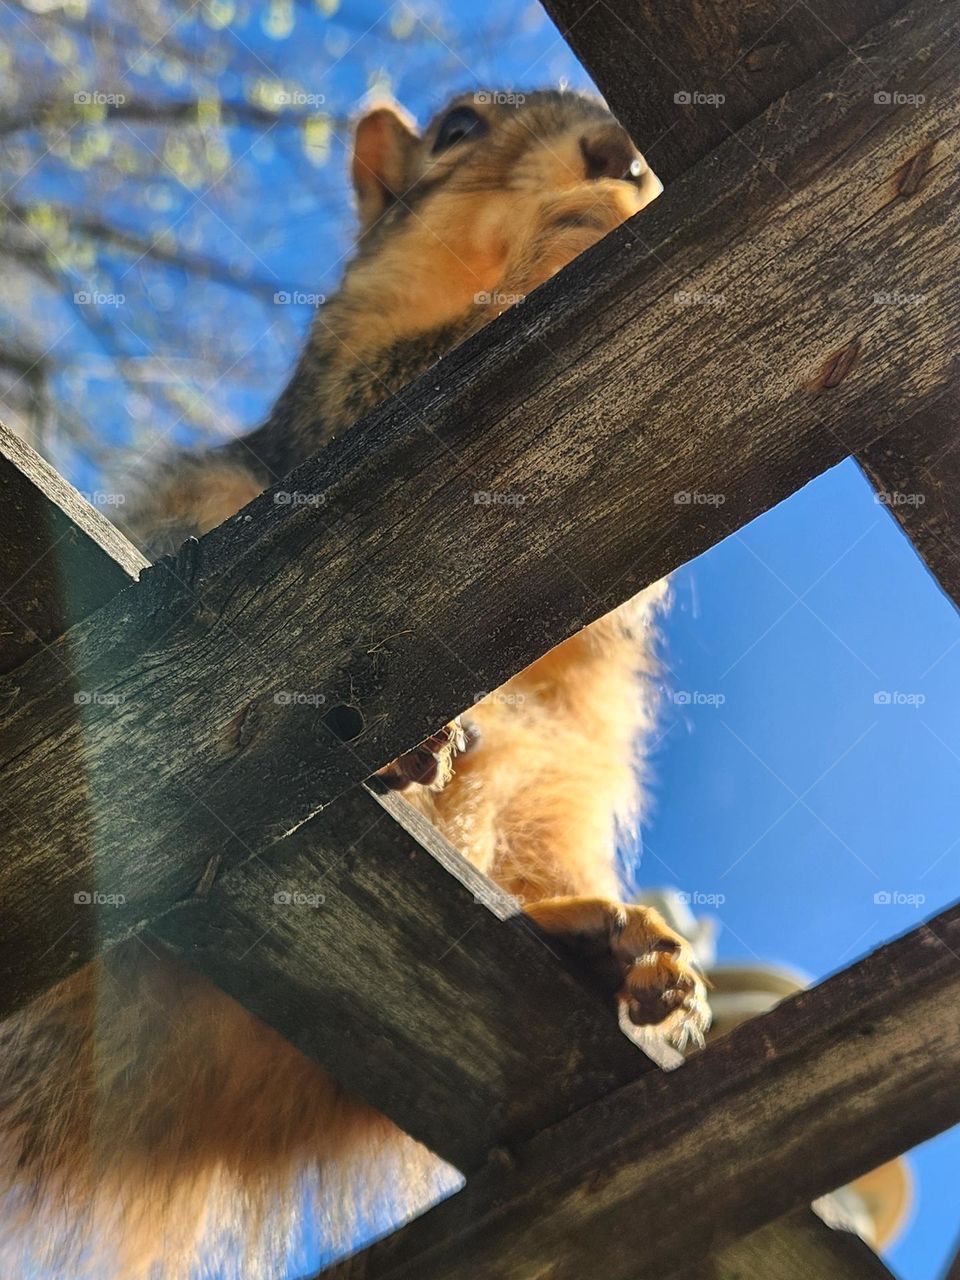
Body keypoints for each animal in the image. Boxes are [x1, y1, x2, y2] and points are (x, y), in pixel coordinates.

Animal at [0, 91, 709, 1279]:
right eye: (459, 124)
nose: (618, 157)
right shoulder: (332, 405)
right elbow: (378, 387)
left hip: (555, 782)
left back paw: (606, 944)